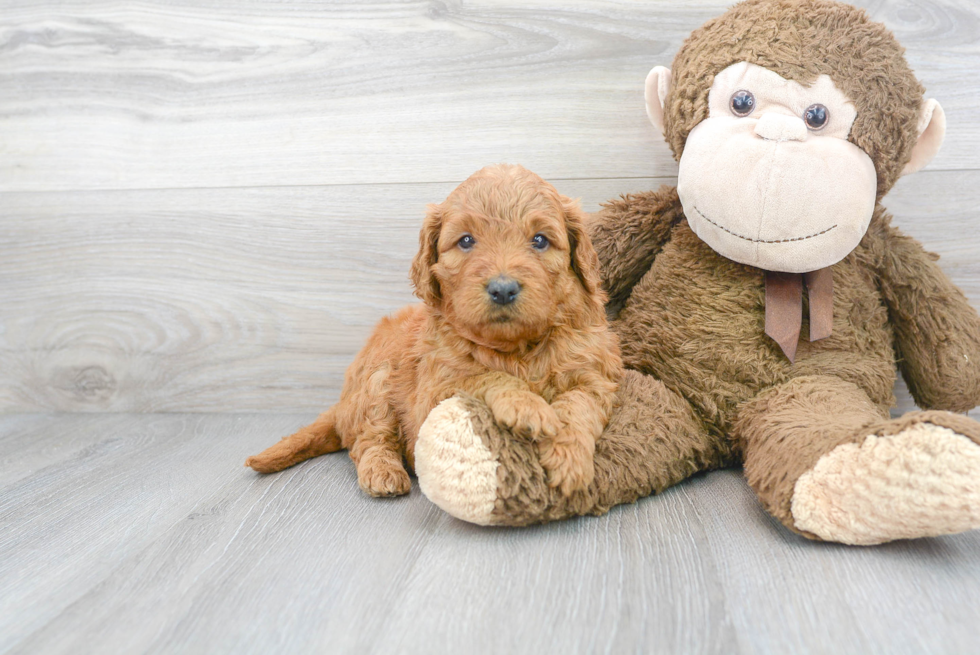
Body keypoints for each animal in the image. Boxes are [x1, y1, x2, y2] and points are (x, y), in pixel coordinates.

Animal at [243, 165, 620, 498]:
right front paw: (527, 406)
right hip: (376, 382)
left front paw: (569, 460)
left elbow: (578, 407)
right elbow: (484, 376)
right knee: (369, 438)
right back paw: (382, 472)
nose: (502, 289)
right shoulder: (435, 393)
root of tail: (342, 402)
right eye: (466, 241)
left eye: (540, 240)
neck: (515, 348)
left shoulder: (593, 375)